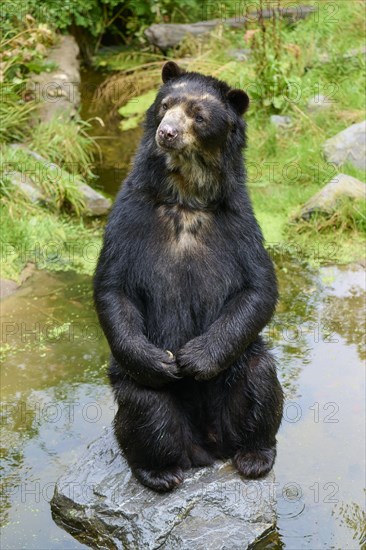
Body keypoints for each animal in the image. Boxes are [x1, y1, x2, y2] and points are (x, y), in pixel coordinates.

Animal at [93, 62, 284, 494]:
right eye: (166, 104)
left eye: (198, 115)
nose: (167, 132)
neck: (185, 196)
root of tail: (207, 448)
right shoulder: (130, 215)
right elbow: (114, 287)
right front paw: (164, 361)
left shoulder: (238, 222)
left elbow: (258, 286)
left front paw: (194, 358)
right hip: (142, 397)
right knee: (145, 410)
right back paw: (160, 471)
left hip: (240, 374)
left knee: (260, 379)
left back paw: (254, 456)